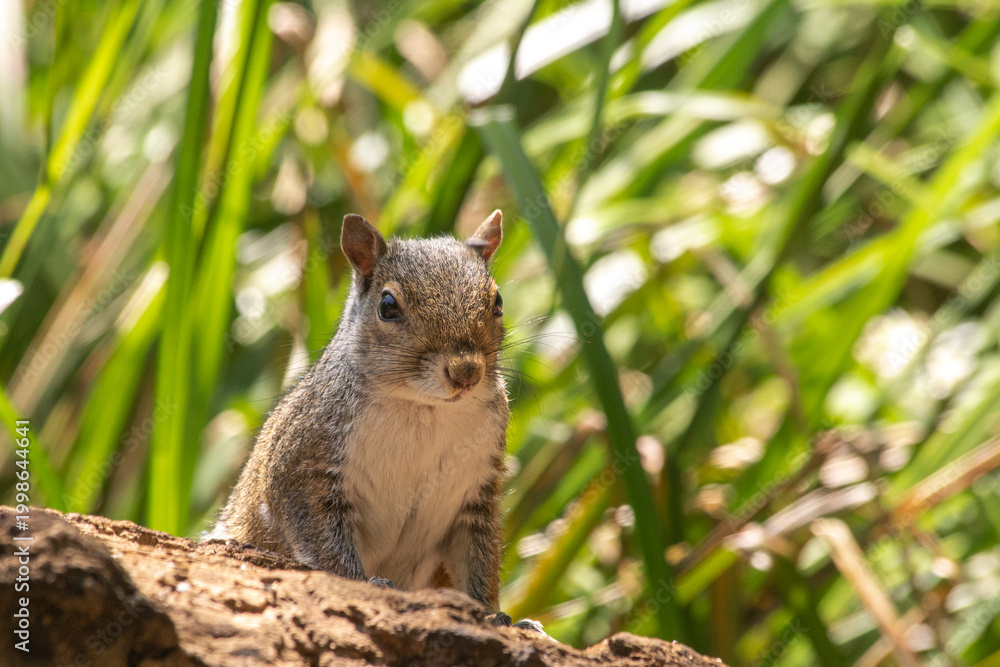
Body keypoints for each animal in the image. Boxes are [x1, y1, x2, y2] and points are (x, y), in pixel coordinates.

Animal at [209, 210, 535, 628]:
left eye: (497, 301)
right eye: (388, 305)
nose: (466, 372)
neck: (424, 408)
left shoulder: (477, 493)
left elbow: (479, 560)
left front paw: (495, 615)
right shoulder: (303, 468)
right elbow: (325, 546)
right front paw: (365, 583)